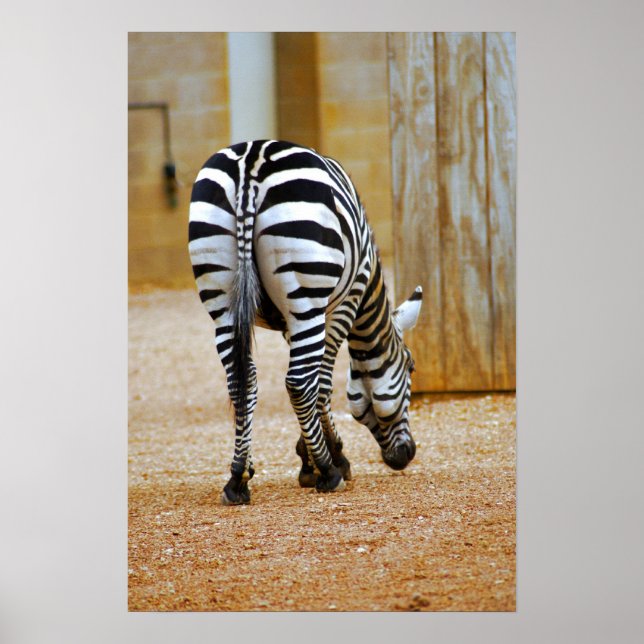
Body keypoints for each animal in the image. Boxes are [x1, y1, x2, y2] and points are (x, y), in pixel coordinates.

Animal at [188, 140, 422, 505]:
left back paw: (238, 478)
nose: (406, 455)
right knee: (298, 382)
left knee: (243, 381)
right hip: (306, 296)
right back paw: (329, 472)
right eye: (411, 367)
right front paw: (330, 460)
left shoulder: (290, 323)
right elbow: (321, 385)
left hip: (222, 302)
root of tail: (251, 161)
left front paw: (305, 459)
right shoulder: (345, 301)